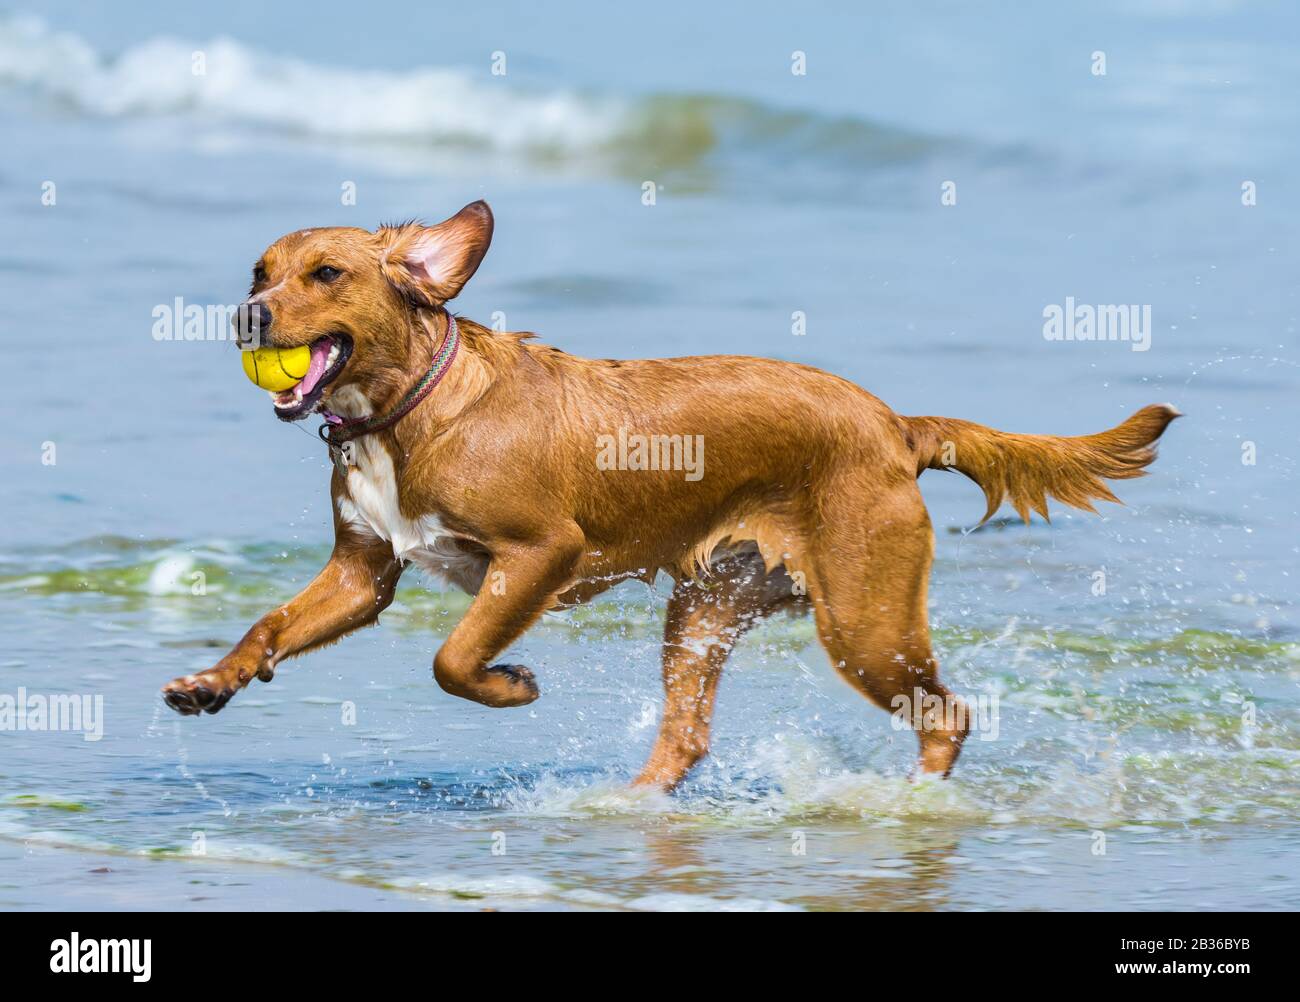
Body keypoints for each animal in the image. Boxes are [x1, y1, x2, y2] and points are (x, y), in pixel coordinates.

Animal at [162, 200, 1180, 790]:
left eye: (326, 274)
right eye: (259, 271)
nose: (245, 313)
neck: (406, 412)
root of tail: (896, 425)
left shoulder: (542, 552)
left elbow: (455, 656)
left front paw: (510, 685)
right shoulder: (363, 571)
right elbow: (269, 626)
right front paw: (210, 682)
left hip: (864, 617)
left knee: (947, 713)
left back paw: (916, 802)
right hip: (707, 607)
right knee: (687, 738)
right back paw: (630, 806)